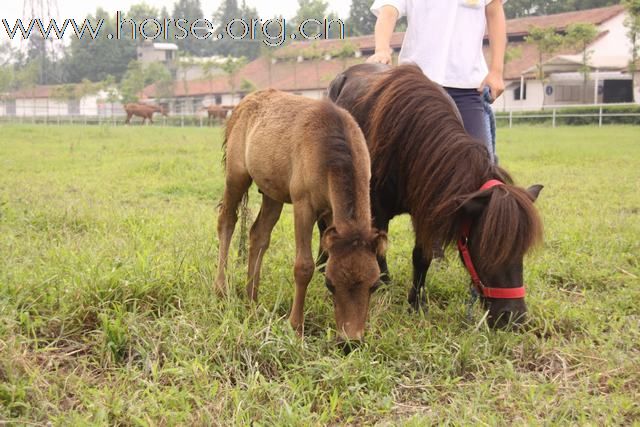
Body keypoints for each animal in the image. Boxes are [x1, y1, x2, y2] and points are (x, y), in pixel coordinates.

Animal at [215, 88, 388, 342]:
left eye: (374, 285)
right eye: (330, 284)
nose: (351, 341)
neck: (330, 150)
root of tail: (243, 104)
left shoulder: (331, 214)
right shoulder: (303, 205)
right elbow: (304, 267)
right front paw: (296, 326)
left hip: (272, 193)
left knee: (258, 234)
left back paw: (251, 299)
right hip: (236, 177)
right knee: (227, 221)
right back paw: (221, 290)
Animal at [328, 63, 544, 330]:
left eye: (523, 250)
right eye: (486, 249)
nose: (514, 318)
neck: (407, 141)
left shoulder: (427, 206)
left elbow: (422, 256)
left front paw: (416, 302)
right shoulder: (376, 206)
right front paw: (381, 284)